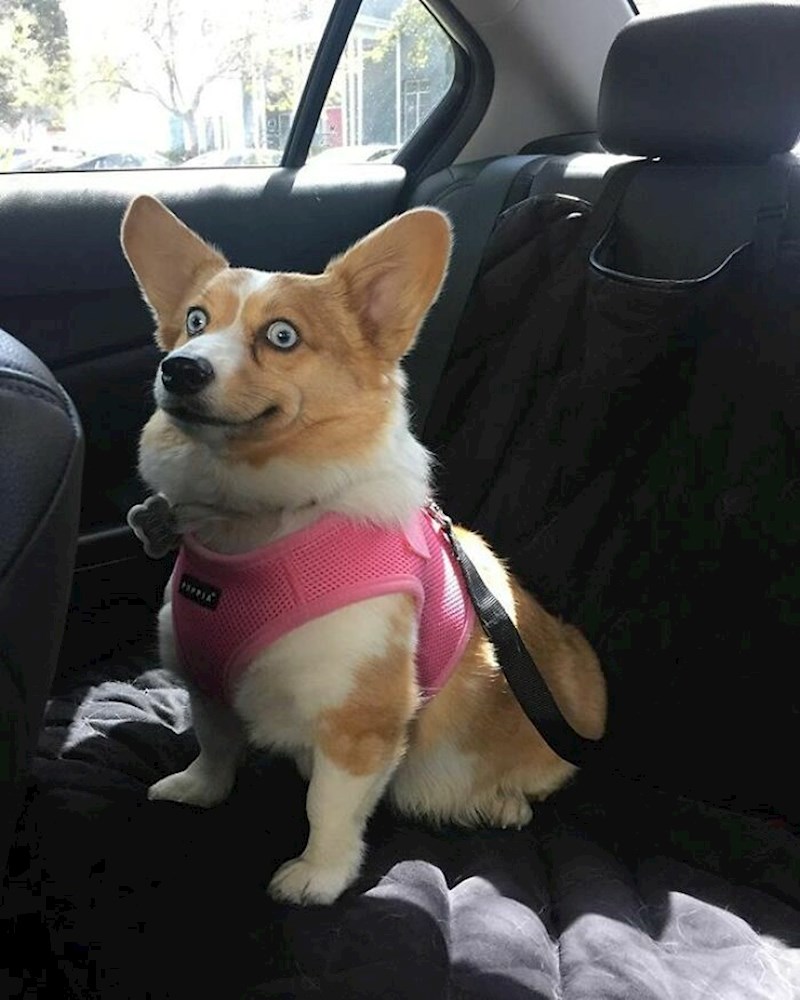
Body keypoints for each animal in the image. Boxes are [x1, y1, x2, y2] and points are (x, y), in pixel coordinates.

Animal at [120, 195, 607, 906]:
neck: (259, 525)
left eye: (282, 336)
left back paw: (499, 802)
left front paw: (317, 876)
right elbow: (215, 744)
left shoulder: (359, 720)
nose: (179, 367)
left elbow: (327, 805)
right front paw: (197, 789)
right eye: (194, 321)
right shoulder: (205, 676)